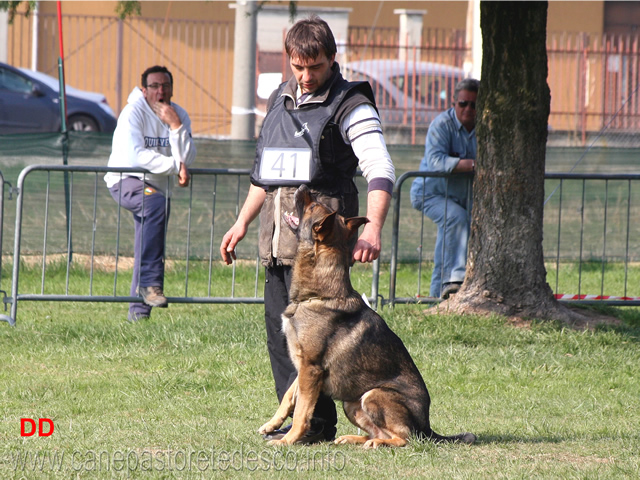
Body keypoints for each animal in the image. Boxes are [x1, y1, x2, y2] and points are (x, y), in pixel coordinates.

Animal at [258, 186, 478, 448]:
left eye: (313, 206)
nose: (302, 187)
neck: (319, 295)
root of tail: (427, 428)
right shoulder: (303, 368)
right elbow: (289, 397)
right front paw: (272, 424)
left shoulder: (311, 370)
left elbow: (302, 411)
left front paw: (287, 440)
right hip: (351, 403)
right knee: (378, 432)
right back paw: (355, 439)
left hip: (373, 395)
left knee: (404, 437)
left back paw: (379, 443)